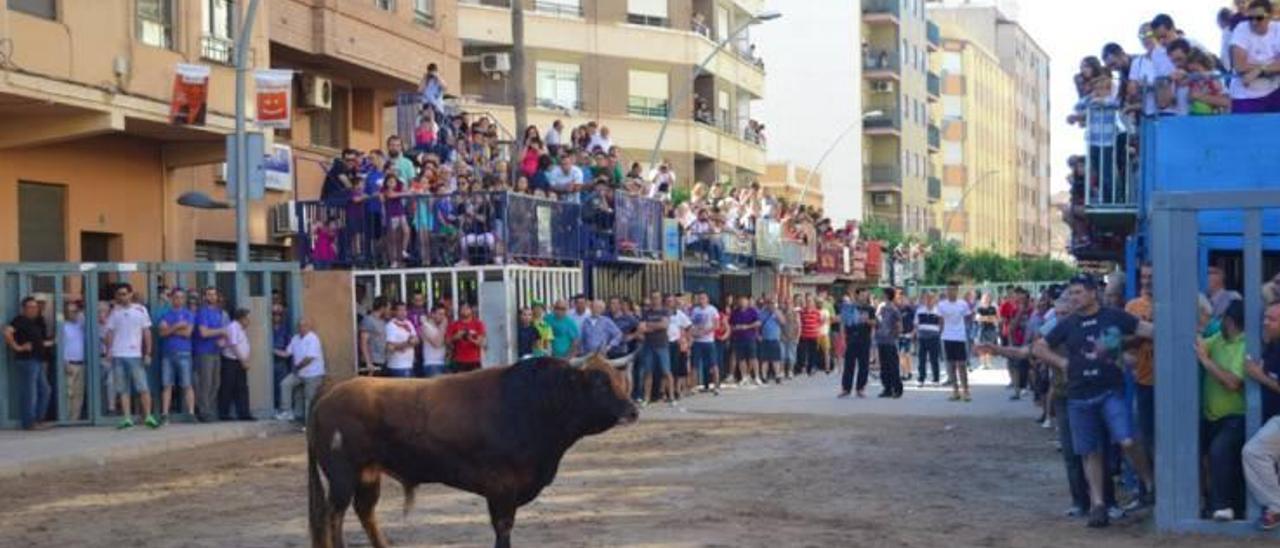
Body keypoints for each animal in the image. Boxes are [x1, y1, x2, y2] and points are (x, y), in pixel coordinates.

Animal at [300, 353, 640, 548]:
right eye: (600, 383)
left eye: (622, 380)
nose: (633, 411)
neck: (534, 403)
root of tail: (331, 391)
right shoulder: (501, 489)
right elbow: (503, 530)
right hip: (343, 475)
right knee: (334, 515)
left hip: (369, 473)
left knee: (365, 511)